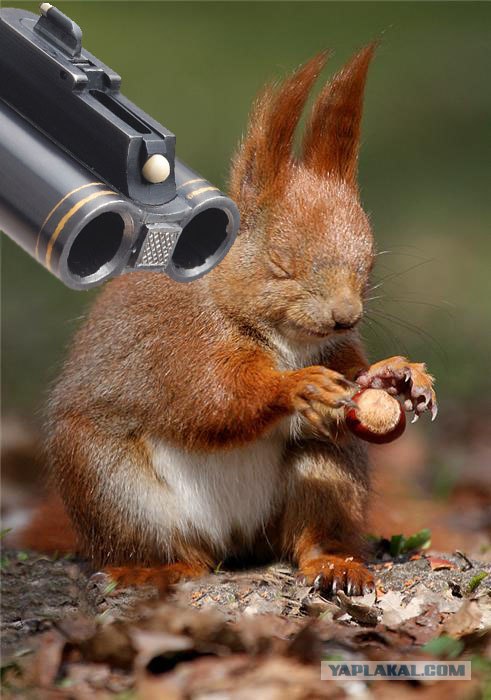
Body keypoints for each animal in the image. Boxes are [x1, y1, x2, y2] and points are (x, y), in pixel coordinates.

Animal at [20, 45, 437, 595]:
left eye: (368, 263)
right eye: (281, 263)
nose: (346, 316)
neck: (287, 340)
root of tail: (236, 541)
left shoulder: (337, 349)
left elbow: (355, 371)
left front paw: (400, 375)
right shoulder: (182, 343)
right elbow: (213, 400)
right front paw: (296, 387)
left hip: (327, 473)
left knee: (312, 531)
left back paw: (335, 563)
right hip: (111, 484)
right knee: (166, 549)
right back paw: (153, 568)